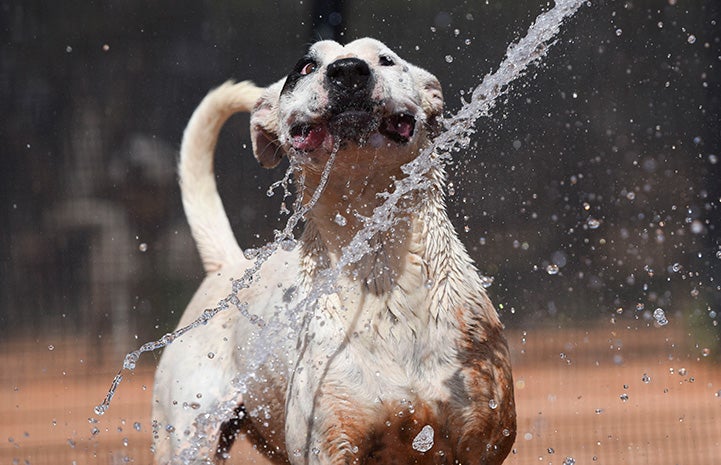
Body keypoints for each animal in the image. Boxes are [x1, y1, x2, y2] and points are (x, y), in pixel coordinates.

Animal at [152, 37, 516, 464]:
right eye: (306, 67)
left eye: (386, 59)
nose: (348, 70)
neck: (377, 267)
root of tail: (226, 264)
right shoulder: (330, 441)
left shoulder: (480, 437)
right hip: (189, 436)